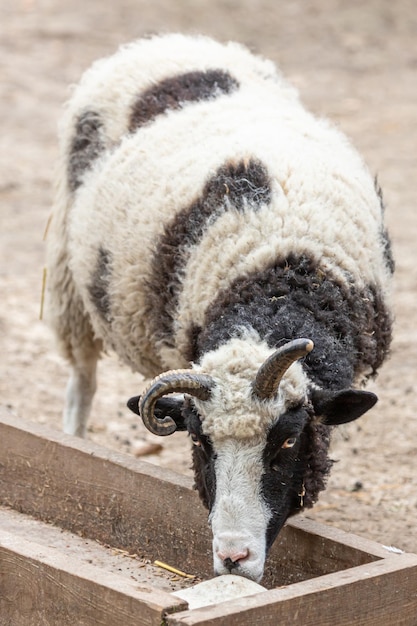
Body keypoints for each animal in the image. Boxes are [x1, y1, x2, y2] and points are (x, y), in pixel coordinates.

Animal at [46, 34, 394, 580]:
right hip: (68, 272)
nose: (233, 558)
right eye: (198, 444)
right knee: (81, 382)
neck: (279, 281)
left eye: (288, 441)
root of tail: (168, 40)